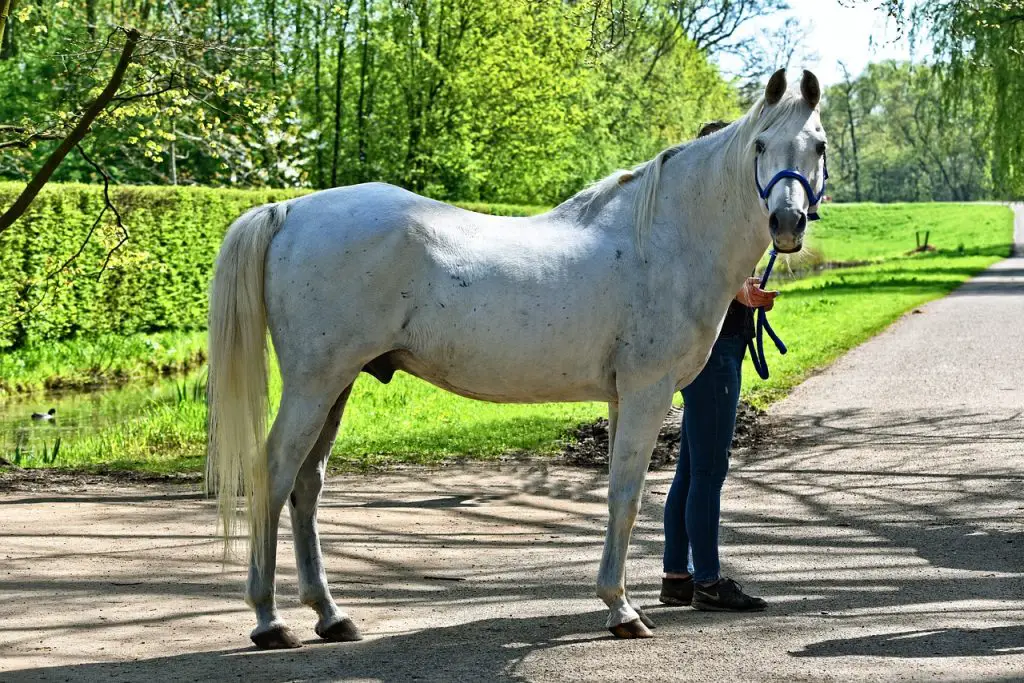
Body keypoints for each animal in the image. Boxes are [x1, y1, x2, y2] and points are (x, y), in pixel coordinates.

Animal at [205, 66, 823, 651]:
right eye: (761, 145)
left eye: (816, 145)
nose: (786, 224)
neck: (664, 240)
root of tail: (288, 210)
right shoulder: (647, 392)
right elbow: (626, 496)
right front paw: (621, 611)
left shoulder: (623, 397)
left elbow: (618, 496)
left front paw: (618, 602)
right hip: (314, 383)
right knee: (274, 475)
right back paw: (269, 620)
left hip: (337, 385)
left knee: (307, 486)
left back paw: (331, 617)